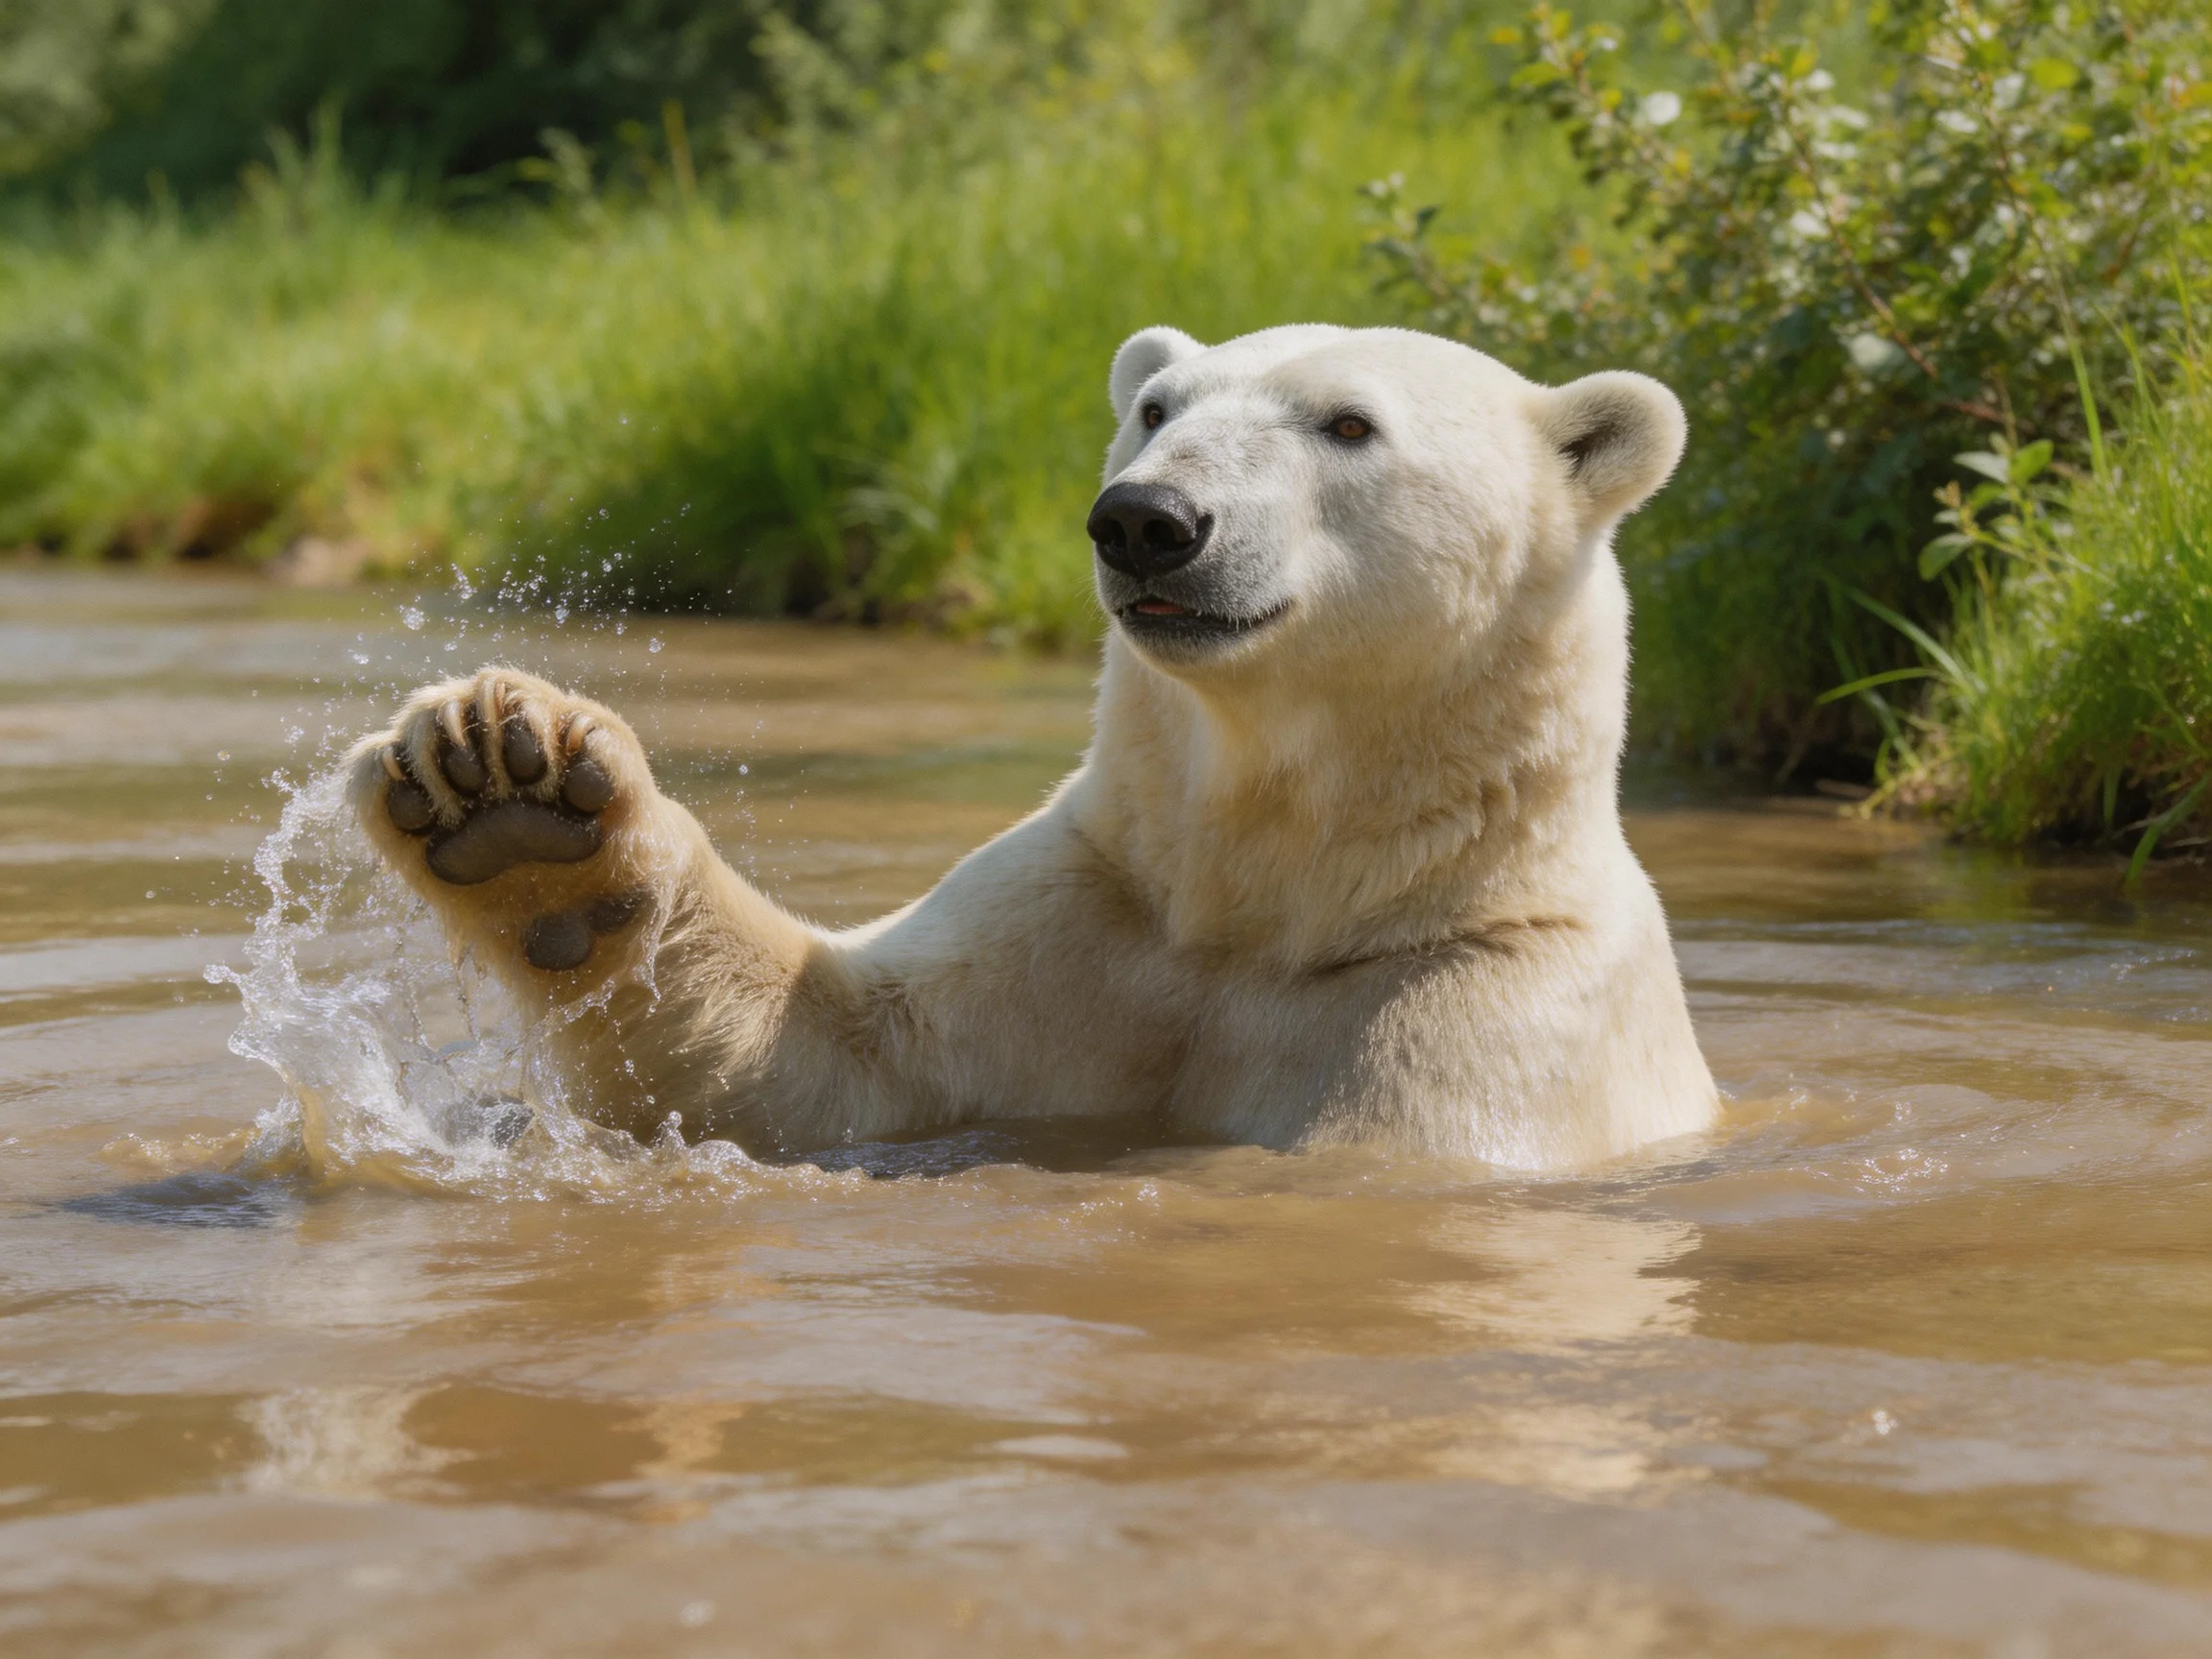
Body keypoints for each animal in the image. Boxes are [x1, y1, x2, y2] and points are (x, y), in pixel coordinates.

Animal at [346, 324, 1717, 1167]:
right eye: (1156, 407)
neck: (1288, 904)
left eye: (1347, 425)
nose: (1147, 519)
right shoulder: (1095, 920)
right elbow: (818, 1062)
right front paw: (507, 789)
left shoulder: (1487, 1008)